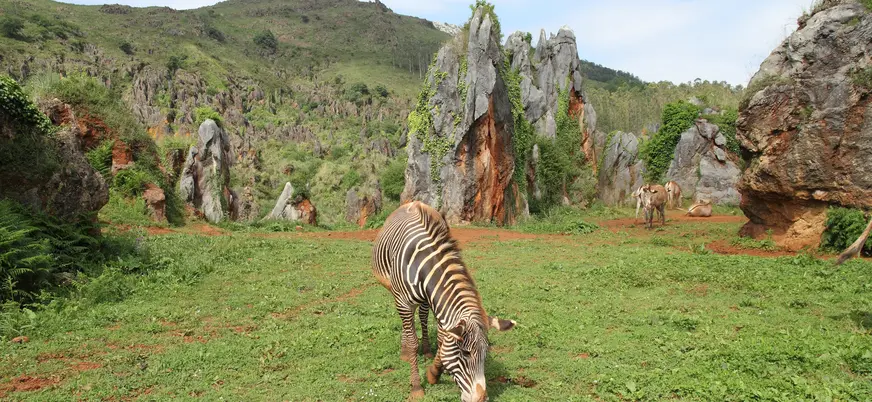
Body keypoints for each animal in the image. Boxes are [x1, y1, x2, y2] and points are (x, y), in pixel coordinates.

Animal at [372, 201, 515, 402]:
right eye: (466, 353)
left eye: (485, 355)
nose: (481, 399)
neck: (424, 266)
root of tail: (413, 202)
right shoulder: (404, 302)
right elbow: (412, 341)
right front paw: (416, 386)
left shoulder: (439, 305)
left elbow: (442, 340)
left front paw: (434, 373)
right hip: (396, 294)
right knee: (408, 324)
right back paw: (406, 351)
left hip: (425, 302)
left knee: (422, 316)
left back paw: (426, 350)